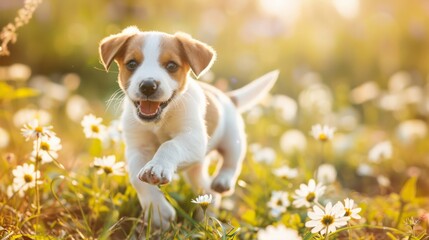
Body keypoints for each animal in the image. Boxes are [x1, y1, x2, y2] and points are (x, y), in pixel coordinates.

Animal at [98, 25, 278, 229]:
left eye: (171, 66)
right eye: (131, 64)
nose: (148, 85)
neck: (161, 119)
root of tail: (227, 96)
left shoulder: (194, 138)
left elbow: (169, 145)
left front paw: (158, 166)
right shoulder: (137, 148)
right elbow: (138, 179)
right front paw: (159, 212)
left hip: (233, 139)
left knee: (232, 161)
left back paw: (222, 181)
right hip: (196, 167)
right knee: (207, 191)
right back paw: (207, 218)